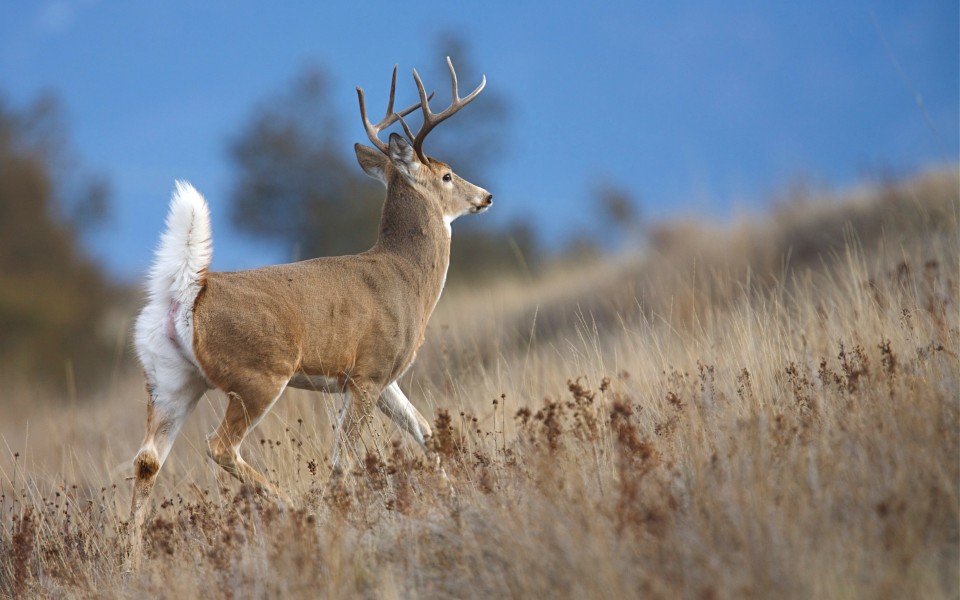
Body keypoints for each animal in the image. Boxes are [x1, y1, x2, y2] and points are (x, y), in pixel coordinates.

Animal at [127, 57, 492, 568]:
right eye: (446, 175)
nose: (486, 196)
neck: (407, 278)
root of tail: (188, 291)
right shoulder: (367, 373)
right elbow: (345, 458)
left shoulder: (381, 377)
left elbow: (424, 432)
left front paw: (456, 494)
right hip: (259, 374)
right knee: (220, 446)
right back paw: (297, 510)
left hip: (169, 380)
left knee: (147, 461)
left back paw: (131, 563)